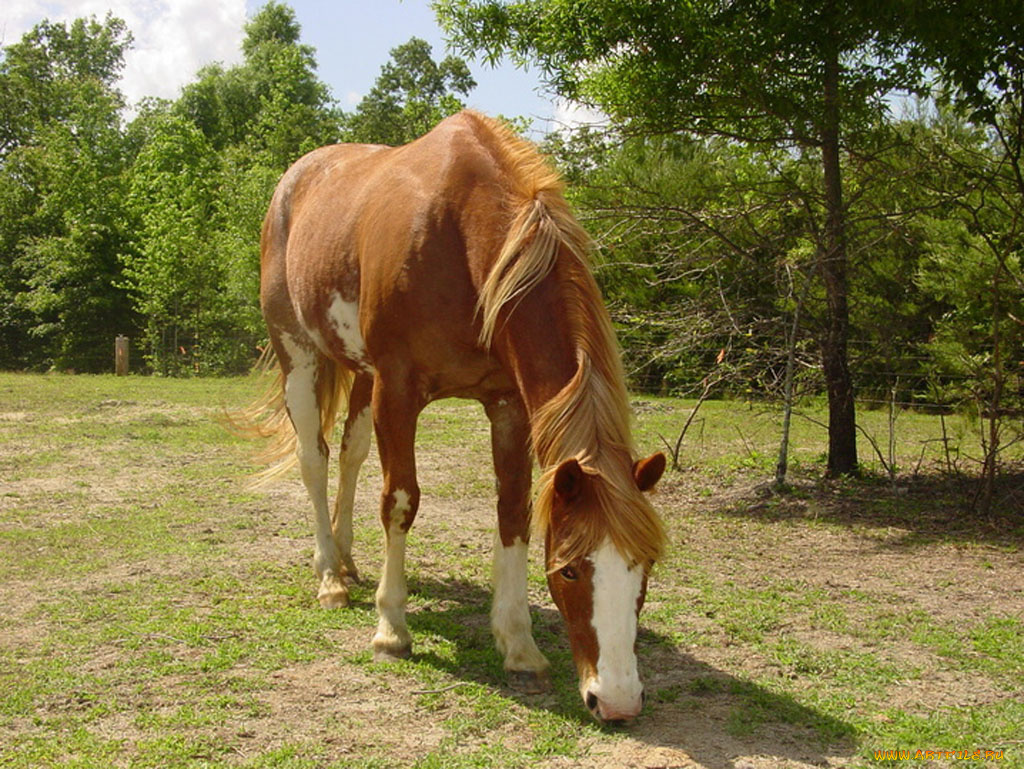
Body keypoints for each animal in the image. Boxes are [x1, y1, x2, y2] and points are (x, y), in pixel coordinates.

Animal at [251, 111, 667, 724]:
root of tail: (294, 179)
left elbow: (513, 512)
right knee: (314, 459)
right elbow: (400, 502)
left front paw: (519, 645)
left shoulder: (508, 406)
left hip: (360, 373)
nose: (616, 701)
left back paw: (348, 561)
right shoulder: (398, 391)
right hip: (297, 353)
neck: (462, 237)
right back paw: (330, 577)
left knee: (349, 455)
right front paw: (391, 630)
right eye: (570, 568)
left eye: (645, 565)